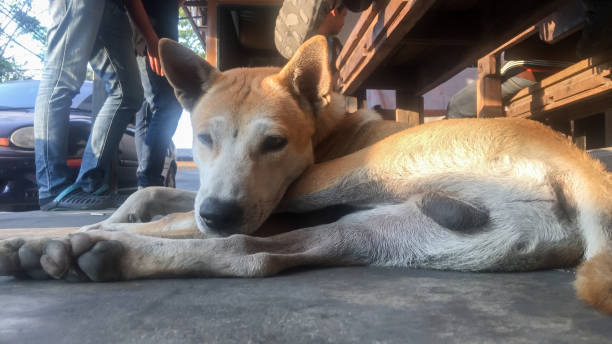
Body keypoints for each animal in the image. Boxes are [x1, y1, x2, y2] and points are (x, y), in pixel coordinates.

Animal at [1, 36, 612, 314]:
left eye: (274, 142)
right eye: (204, 139)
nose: (218, 211)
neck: (328, 128)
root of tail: (578, 162)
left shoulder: (272, 195)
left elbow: (172, 213)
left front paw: (79, 227)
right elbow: (155, 191)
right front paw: (114, 214)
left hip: (334, 183)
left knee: (233, 238)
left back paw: (62, 245)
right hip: (391, 234)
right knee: (250, 253)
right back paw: (101, 252)